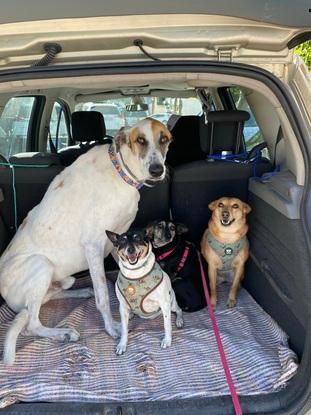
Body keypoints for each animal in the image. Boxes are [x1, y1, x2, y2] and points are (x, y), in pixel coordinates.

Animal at [0, 118, 172, 368]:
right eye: (140, 140)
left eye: (164, 139)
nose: (157, 170)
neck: (120, 173)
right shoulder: (94, 246)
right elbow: (103, 297)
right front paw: (113, 329)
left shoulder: (118, 239)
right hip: (41, 264)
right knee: (31, 324)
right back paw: (63, 333)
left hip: (62, 279)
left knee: (52, 296)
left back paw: (82, 293)